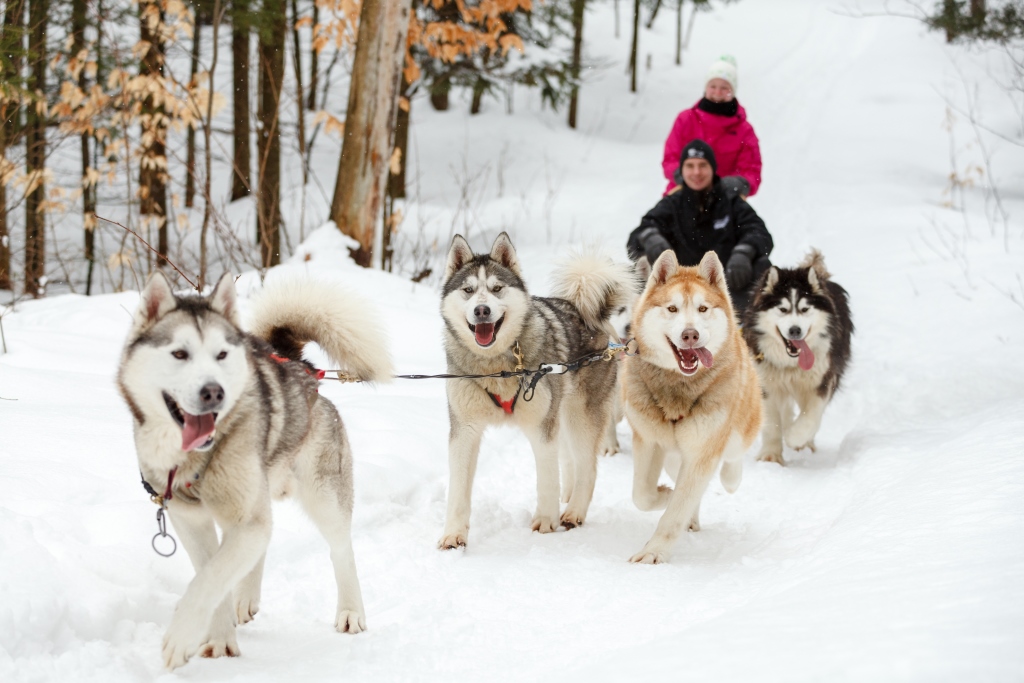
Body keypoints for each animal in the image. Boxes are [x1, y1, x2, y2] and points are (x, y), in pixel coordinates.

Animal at [117, 270, 391, 667]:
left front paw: (181, 636)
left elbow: (209, 579)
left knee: (340, 549)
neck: (197, 458)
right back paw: (244, 597)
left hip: (323, 497)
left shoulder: (244, 518)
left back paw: (351, 611)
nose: (213, 392)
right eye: (180, 353)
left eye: (221, 354)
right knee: (263, 538)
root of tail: (301, 367)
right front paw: (218, 637)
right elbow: (211, 573)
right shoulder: (191, 521)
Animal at [438, 232, 630, 548]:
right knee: (570, 462)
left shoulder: (542, 428)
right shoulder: (464, 431)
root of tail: (581, 309)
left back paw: (574, 511)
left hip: (580, 419)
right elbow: (457, 491)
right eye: (468, 290)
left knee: (587, 468)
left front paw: (545, 521)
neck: (497, 366)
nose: (482, 310)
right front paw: (453, 534)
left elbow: (547, 479)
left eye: (497, 288)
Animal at [614, 250, 761, 565]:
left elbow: (674, 513)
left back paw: (730, 478)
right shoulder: (649, 441)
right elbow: (642, 494)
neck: (678, 388)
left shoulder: (702, 452)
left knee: (733, 459)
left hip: (736, 430)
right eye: (672, 309)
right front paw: (665, 495)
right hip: (672, 455)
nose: (690, 334)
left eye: (703, 308)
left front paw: (654, 551)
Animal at [741, 248, 851, 466]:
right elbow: (772, 422)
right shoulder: (766, 383)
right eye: (782, 309)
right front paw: (771, 456)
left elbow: (811, 416)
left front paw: (795, 437)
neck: (790, 363)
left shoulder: (823, 379)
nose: (795, 330)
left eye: (805, 309)